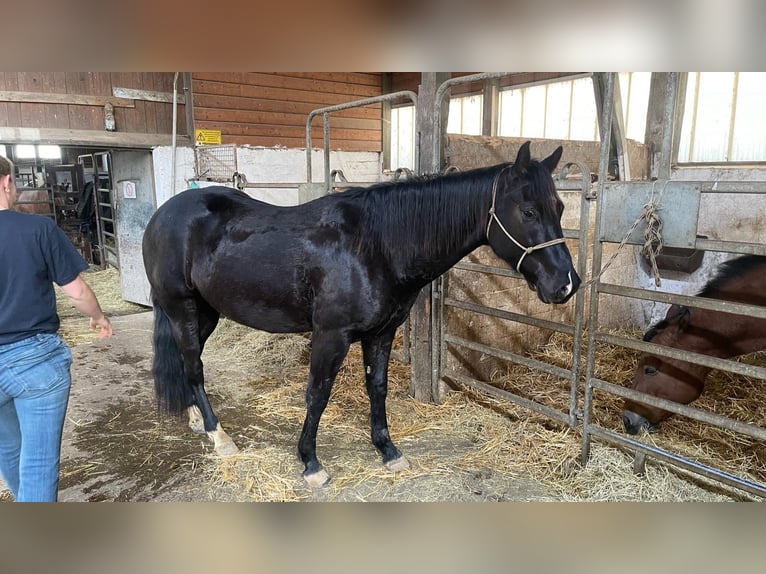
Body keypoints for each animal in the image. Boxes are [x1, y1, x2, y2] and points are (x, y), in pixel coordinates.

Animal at [142, 142, 584, 488]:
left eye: (560, 206)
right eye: (528, 211)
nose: (566, 284)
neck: (376, 246)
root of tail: (164, 214)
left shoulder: (381, 333)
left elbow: (378, 388)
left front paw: (388, 450)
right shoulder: (330, 336)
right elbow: (318, 394)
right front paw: (311, 464)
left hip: (205, 312)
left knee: (188, 361)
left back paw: (196, 419)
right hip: (181, 307)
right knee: (194, 366)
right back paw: (220, 438)